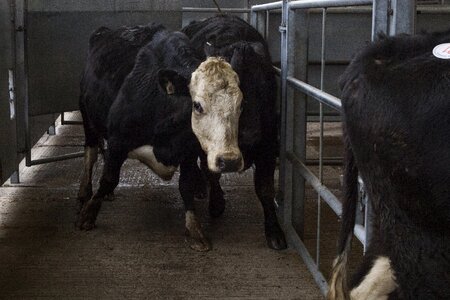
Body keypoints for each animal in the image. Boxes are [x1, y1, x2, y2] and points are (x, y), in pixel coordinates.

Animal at [78, 23, 244, 252]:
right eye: (197, 105)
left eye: (241, 104)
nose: (229, 161)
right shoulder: (118, 140)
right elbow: (109, 178)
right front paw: (89, 213)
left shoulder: (188, 150)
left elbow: (185, 185)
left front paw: (194, 229)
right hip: (86, 114)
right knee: (91, 152)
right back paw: (84, 192)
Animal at [181, 14, 286, 250]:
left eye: (266, 87)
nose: (250, 134)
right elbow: (211, 171)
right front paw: (217, 202)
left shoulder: (268, 145)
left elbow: (265, 188)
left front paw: (274, 230)